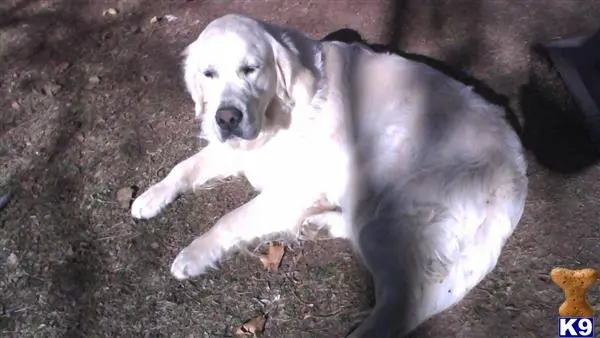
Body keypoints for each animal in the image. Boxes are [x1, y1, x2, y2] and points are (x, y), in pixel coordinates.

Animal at [129, 13, 528, 338]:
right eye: (208, 74)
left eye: (250, 69)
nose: (227, 117)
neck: (279, 109)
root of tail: (515, 173)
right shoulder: (238, 150)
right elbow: (184, 167)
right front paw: (149, 197)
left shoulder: (291, 189)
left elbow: (229, 219)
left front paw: (193, 255)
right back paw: (321, 223)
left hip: (387, 203)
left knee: (403, 303)